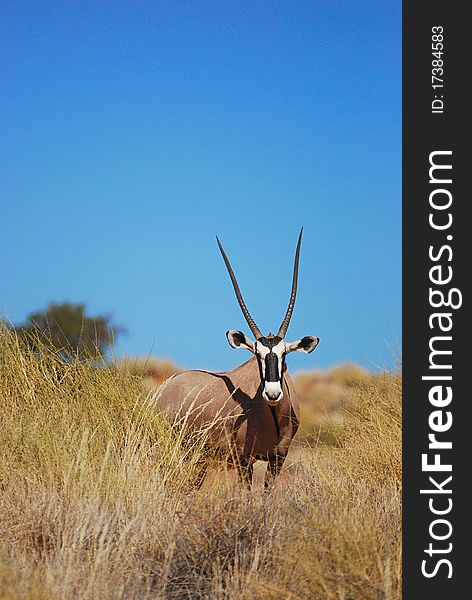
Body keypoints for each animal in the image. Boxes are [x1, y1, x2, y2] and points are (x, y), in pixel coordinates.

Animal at [156, 230, 320, 488]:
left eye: (284, 355)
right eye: (257, 355)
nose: (272, 394)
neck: (272, 416)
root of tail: (167, 386)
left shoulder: (277, 459)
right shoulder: (245, 460)